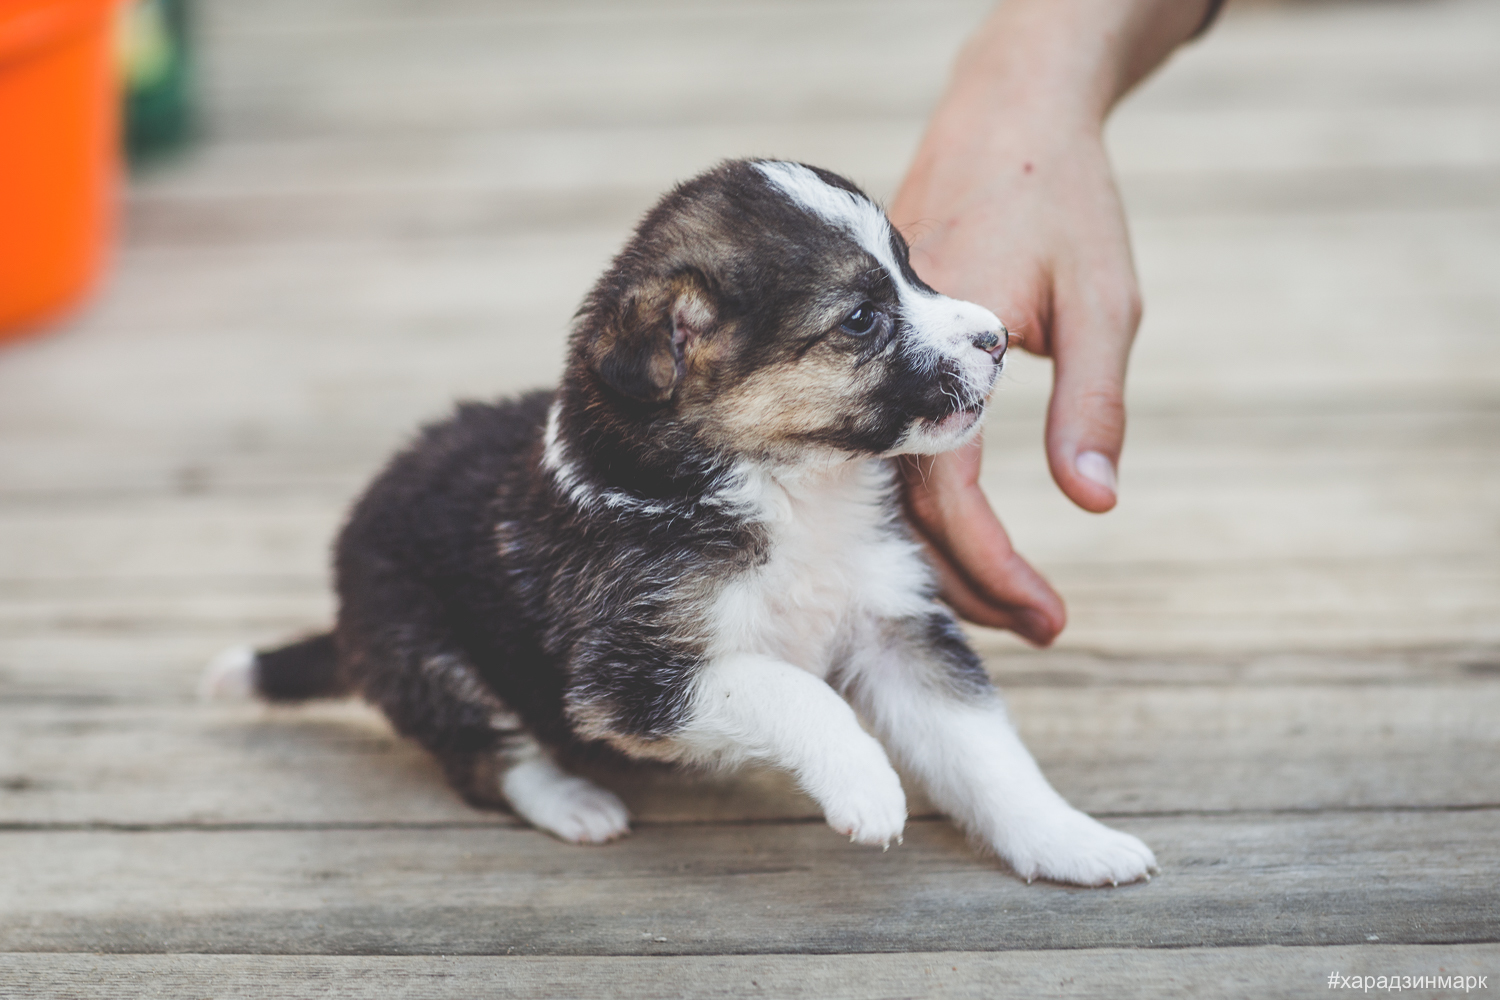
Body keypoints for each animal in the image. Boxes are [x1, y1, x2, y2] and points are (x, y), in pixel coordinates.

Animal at [202, 160, 1158, 887]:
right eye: (861, 318)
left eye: (913, 270)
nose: (999, 336)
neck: (791, 488)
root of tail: (346, 607)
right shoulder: (630, 676)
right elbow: (788, 687)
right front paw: (866, 785)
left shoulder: (900, 627)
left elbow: (987, 753)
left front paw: (1070, 841)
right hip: (430, 652)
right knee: (488, 758)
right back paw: (573, 801)